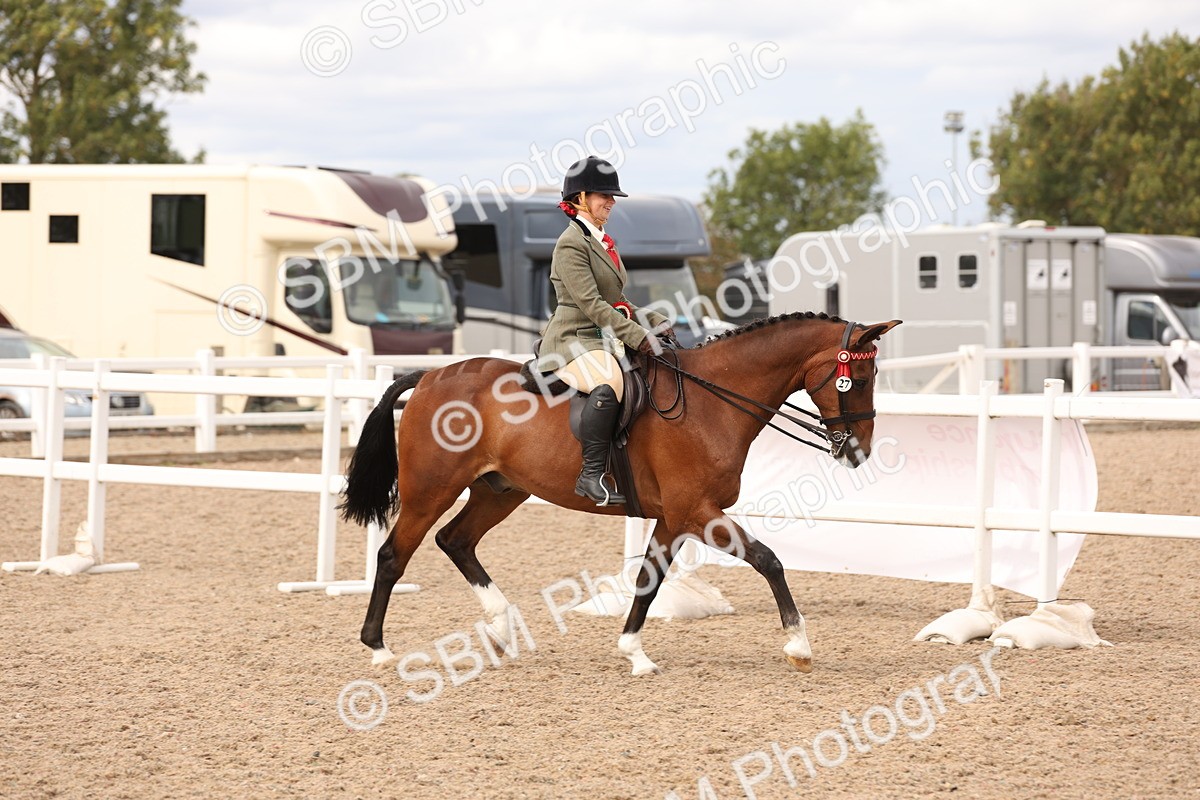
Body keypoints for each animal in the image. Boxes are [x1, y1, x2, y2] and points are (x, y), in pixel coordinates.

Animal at [340, 312, 901, 676]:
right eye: (860, 377)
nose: (860, 451)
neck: (712, 400)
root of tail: (429, 376)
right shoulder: (699, 512)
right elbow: (769, 560)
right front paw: (799, 645)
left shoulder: (676, 518)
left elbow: (649, 580)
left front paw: (634, 652)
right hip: (430, 489)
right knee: (394, 555)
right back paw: (379, 649)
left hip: (500, 491)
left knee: (455, 541)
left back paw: (501, 628)